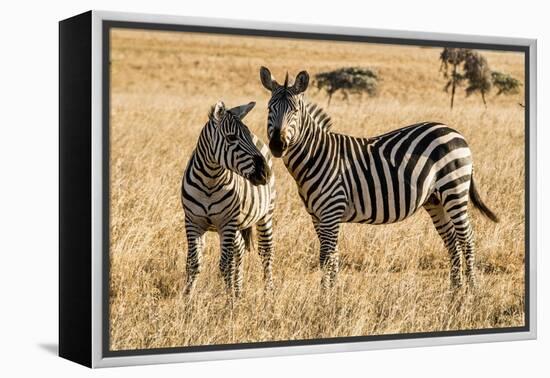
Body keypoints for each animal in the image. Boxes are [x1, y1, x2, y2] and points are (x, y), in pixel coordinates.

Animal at [182, 102, 276, 296]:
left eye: (246, 134)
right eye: (231, 137)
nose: (265, 173)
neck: (209, 181)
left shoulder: (227, 223)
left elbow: (226, 266)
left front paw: (229, 302)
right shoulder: (193, 222)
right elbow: (193, 264)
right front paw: (186, 300)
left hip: (265, 214)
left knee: (266, 252)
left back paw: (268, 294)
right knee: (239, 251)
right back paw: (238, 291)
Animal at [260, 67, 500, 290]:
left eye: (295, 111)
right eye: (269, 108)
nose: (277, 145)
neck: (316, 156)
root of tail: (456, 132)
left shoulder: (331, 212)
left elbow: (326, 257)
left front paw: (325, 295)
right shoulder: (317, 216)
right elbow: (332, 256)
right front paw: (332, 292)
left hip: (454, 189)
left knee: (466, 238)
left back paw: (472, 289)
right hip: (435, 200)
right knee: (451, 241)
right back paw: (455, 289)